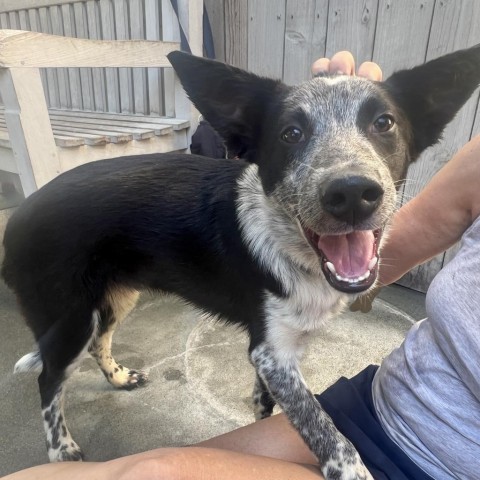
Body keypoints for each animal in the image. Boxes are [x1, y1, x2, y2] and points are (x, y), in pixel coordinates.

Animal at [3, 46, 480, 480]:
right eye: (290, 133)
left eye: (384, 123)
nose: (351, 193)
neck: (292, 247)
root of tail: (19, 215)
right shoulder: (272, 352)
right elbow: (326, 430)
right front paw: (351, 470)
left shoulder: (274, 355)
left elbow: (270, 400)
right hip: (68, 318)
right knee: (49, 379)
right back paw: (62, 451)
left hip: (118, 296)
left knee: (100, 341)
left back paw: (118, 378)